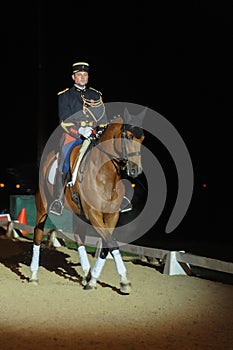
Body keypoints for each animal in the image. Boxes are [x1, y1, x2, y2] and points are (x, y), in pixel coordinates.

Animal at [29, 112, 144, 292]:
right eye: (128, 136)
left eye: (143, 139)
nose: (135, 171)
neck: (106, 176)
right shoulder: (94, 214)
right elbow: (112, 242)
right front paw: (124, 281)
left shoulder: (112, 216)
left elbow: (107, 243)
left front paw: (93, 279)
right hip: (43, 207)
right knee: (38, 233)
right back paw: (34, 275)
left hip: (79, 213)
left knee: (79, 237)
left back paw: (86, 274)